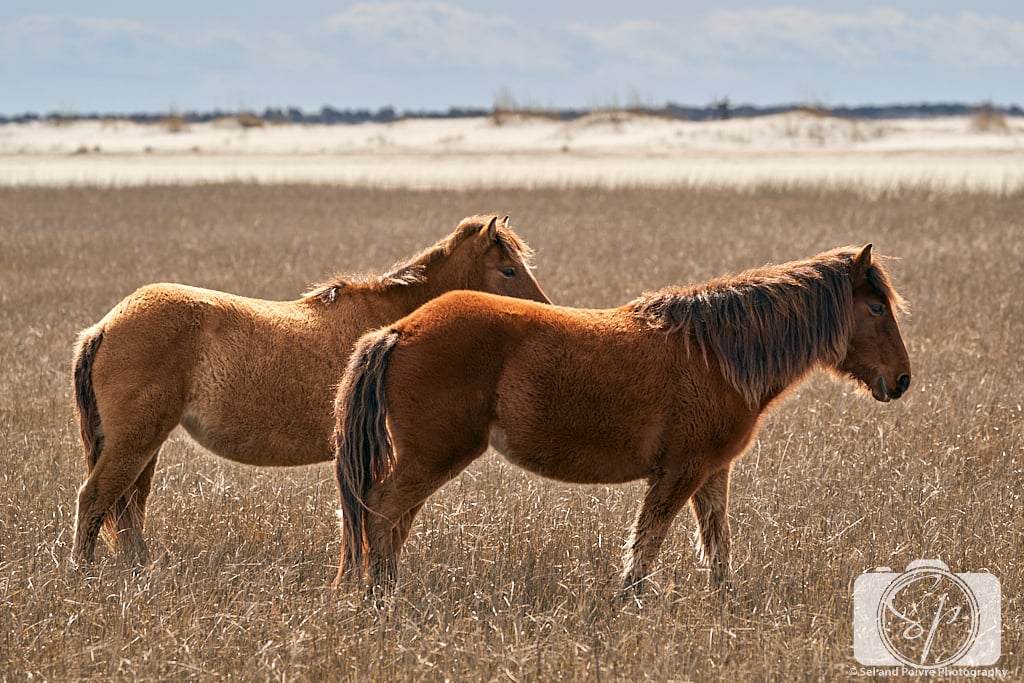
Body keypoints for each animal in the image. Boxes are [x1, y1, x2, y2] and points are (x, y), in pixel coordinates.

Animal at [71, 214, 549, 565]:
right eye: (508, 270)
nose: (545, 314)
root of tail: (106, 326)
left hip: (143, 442)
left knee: (127, 506)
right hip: (136, 439)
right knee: (96, 499)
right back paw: (84, 572)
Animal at [331, 244, 911, 595]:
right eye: (875, 307)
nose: (902, 379)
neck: (716, 353)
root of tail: (399, 330)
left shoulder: (711, 474)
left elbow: (717, 547)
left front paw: (725, 605)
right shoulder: (679, 472)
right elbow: (647, 544)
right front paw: (628, 604)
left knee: (391, 521)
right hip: (433, 458)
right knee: (380, 514)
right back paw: (381, 599)